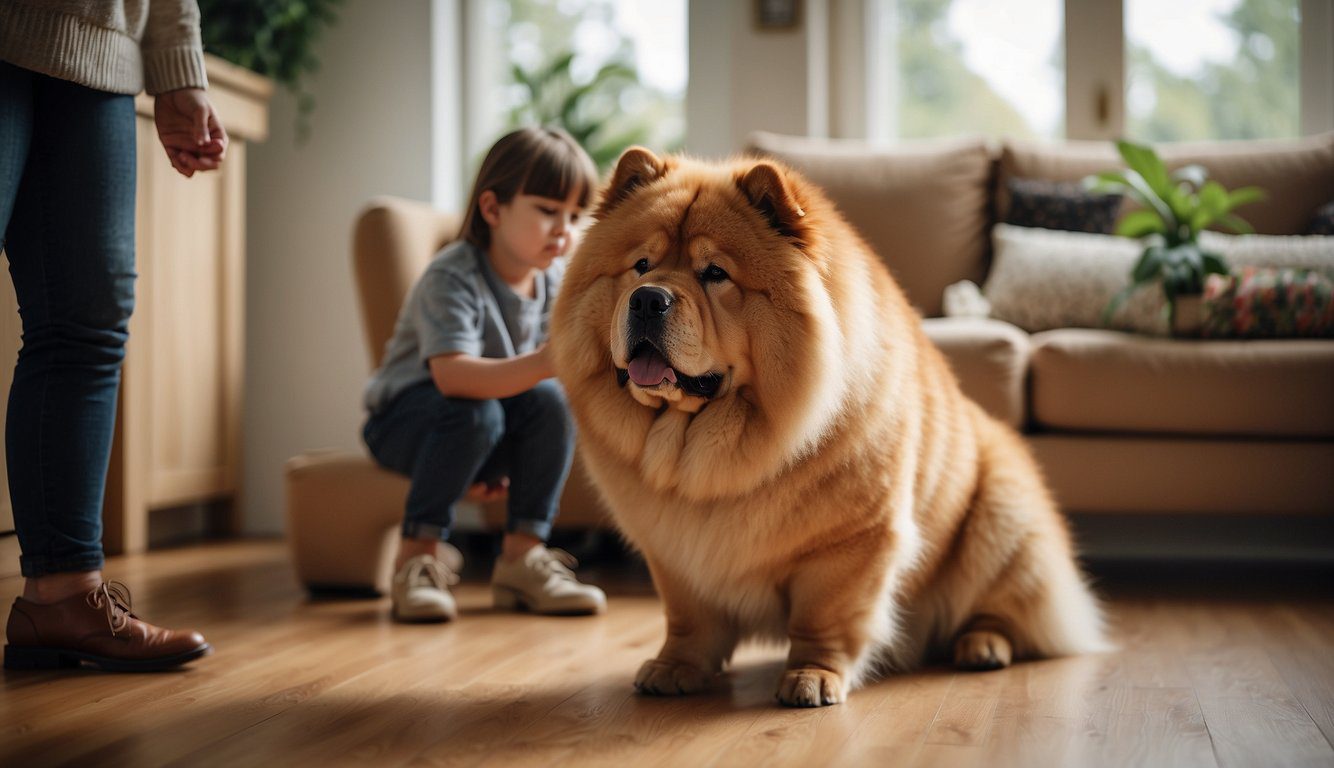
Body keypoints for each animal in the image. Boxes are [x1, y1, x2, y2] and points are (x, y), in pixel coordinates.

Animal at [546, 146, 1109, 704]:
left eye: (715, 274)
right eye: (640, 265)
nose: (648, 298)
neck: (708, 455)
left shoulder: (851, 543)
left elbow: (824, 618)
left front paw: (812, 677)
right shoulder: (674, 551)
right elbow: (689, 620)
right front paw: (675, 668)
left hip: (1002, 516)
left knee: (1009, 611)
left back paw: (983, 646)